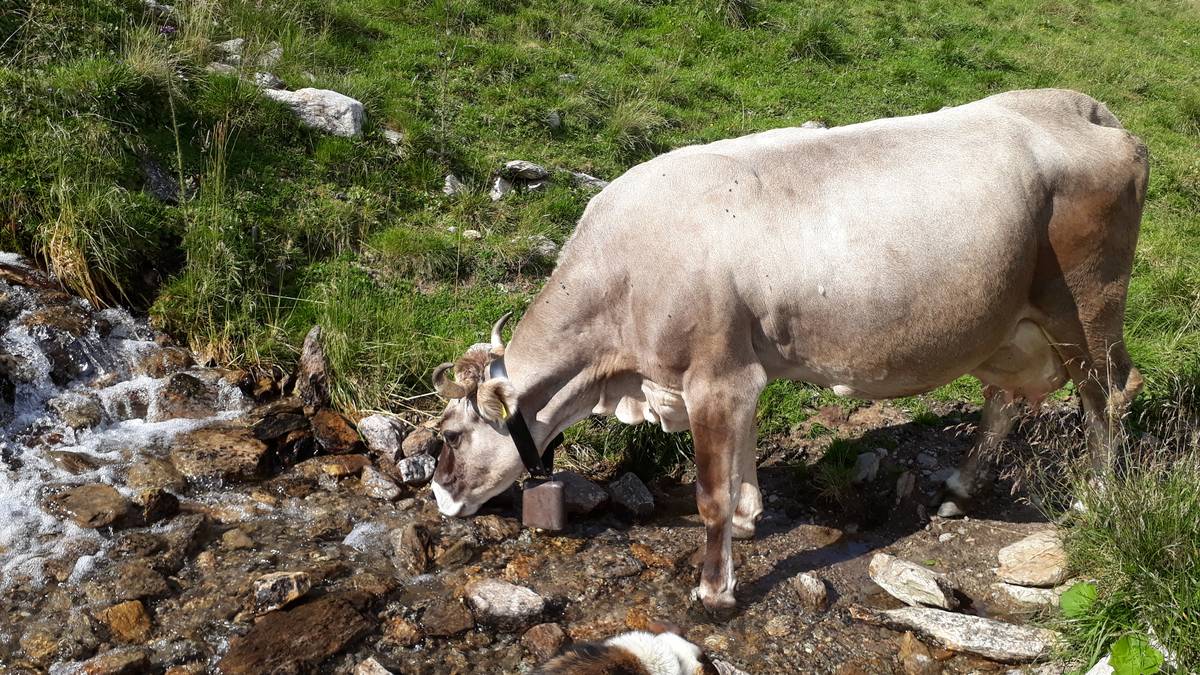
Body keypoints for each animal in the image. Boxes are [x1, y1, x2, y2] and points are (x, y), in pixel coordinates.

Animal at [428, 89, 1148, 611]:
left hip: (1087, 304)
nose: (439, 497)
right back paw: (960, 489)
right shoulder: (738, 373)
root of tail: (1082, 105)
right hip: (1009, 325)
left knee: (1106, 394)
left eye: (451, 437)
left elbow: (710, 492)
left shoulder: (716, 375)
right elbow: (739, 464)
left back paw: (1095, 498)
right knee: (1006, 396)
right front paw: (749, 520)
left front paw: (714, 590)